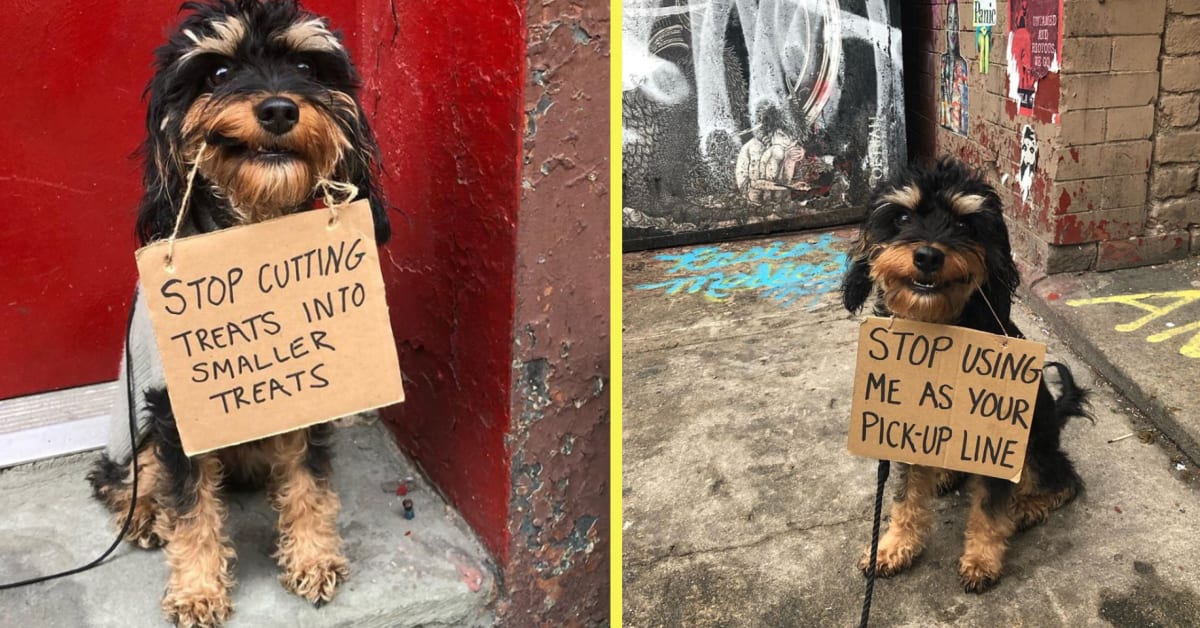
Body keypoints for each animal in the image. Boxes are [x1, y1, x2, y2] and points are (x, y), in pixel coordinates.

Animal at [88, 2, 388, 624]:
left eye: (306, 66)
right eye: (220, 73)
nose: (278, 108)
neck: (253, 233)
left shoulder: (308, 387)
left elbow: (309, 480)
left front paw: (313, 557)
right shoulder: (177, 410)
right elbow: (190, 507)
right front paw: (197, 590)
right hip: (134, 428)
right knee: (124, 477)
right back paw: (145, 515)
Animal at [844, 158, 1089, 595]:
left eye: (963, 224)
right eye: (902, 217)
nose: (927, 256)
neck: (940, 329)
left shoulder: (994, 437)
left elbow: (990, 509)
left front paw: (981, 560)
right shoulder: (907, 428)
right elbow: (905, 496)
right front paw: (892, 547)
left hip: (1034, 442)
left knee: (1065, 479)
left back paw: (1026, 508)